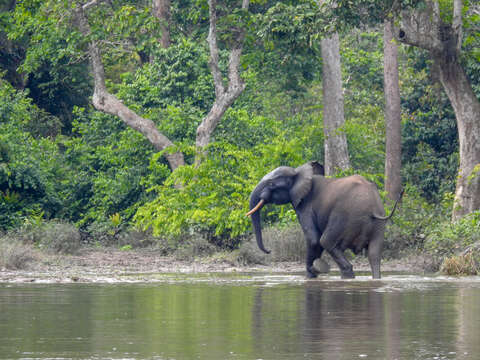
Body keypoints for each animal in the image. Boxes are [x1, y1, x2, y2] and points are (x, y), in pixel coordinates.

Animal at [246, 162, 404, 280]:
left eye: (271, 184)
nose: (269, 250)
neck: (298, 172)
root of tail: (373, 208)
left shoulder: (306, 207)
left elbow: (313, 240)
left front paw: (311, 274)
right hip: (378, 224)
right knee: (374, 254)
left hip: (344, 216)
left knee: (326, 241)